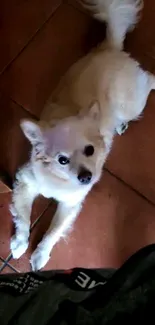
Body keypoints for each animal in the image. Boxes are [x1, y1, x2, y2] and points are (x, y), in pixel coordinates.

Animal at [10, 0, 154, 268]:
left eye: (90, 150)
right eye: (62, 160)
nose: (87, 177)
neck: (60, 182)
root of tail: (110, 47)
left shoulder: (70, 204)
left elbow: (54, 231)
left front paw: (40, 254)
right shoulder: (25, 181)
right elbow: (23, 217)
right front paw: (19, 243)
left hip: (134, 102)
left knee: (150, 79)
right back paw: (120, 125)